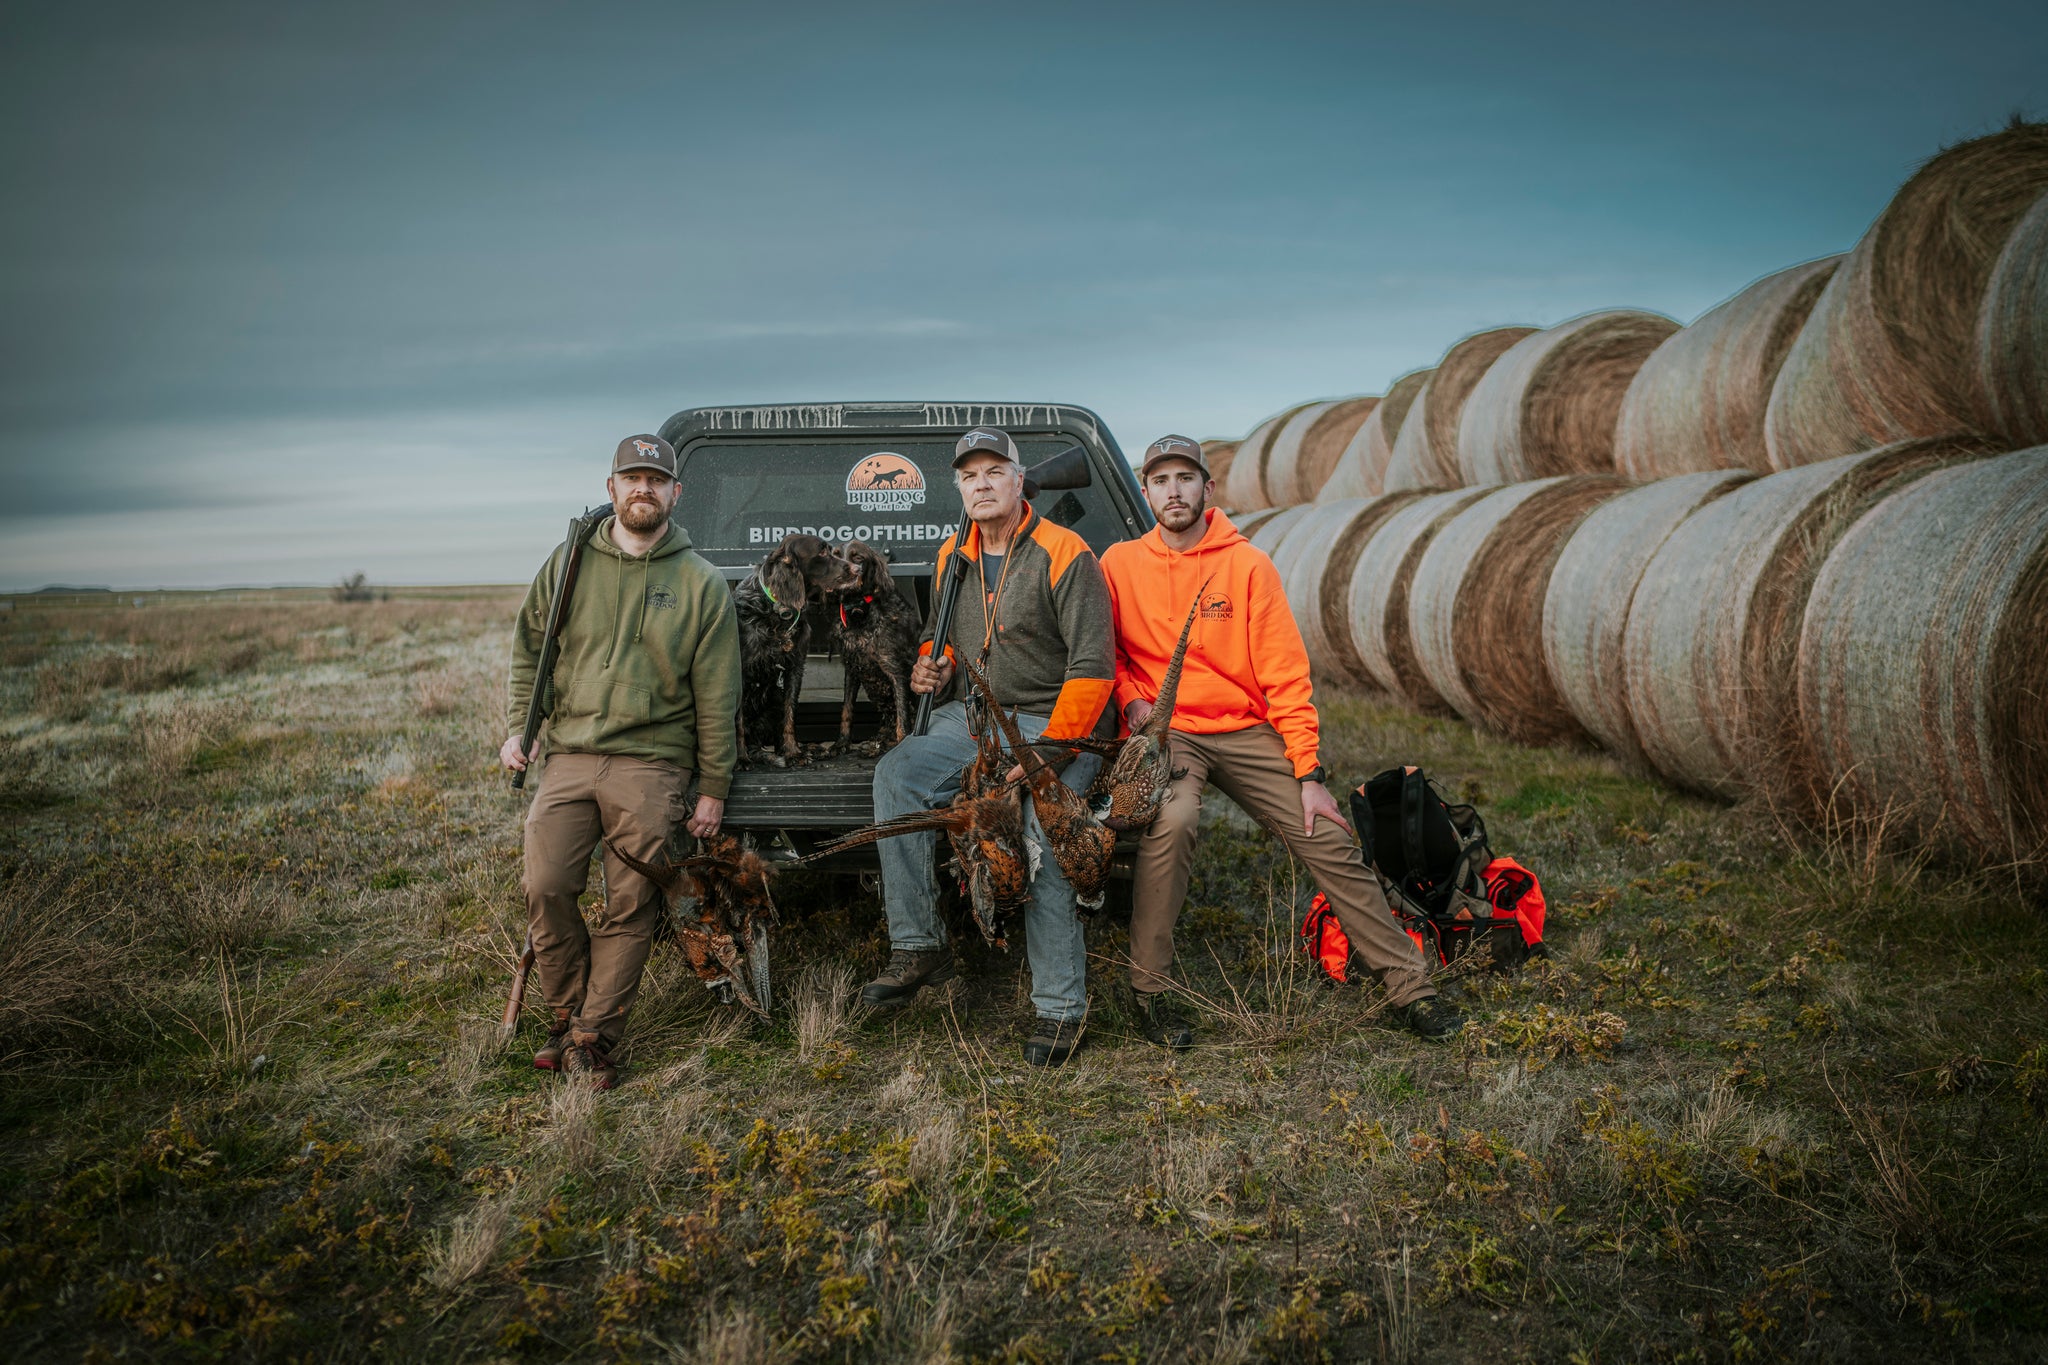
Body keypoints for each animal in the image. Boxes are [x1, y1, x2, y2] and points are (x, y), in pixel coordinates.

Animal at [823, 540, 921, 749]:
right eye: (836, 556)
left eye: (858, 557)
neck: (859, 612)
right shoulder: (852, 668)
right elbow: (847, 709)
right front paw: (841, 743)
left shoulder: (895, 669)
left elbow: (903, 717)